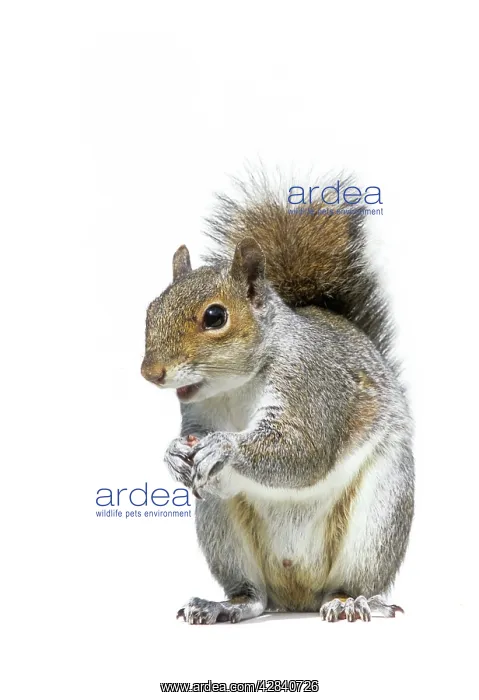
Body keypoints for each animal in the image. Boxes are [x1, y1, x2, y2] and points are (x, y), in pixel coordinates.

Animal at [141, 175, 414, 624]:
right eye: (151, 309)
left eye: (215, 317)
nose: (151, 372)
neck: (235, 386)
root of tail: (298, 594)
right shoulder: (197, 415)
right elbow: (191, 437)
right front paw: (172, 454)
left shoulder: (313, 385)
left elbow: (303, 451)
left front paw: (225, 447)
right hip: (222, 526)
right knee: (254, 597)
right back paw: (223, 606)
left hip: (378, 520)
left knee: (353, 582)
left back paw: (349, 601)